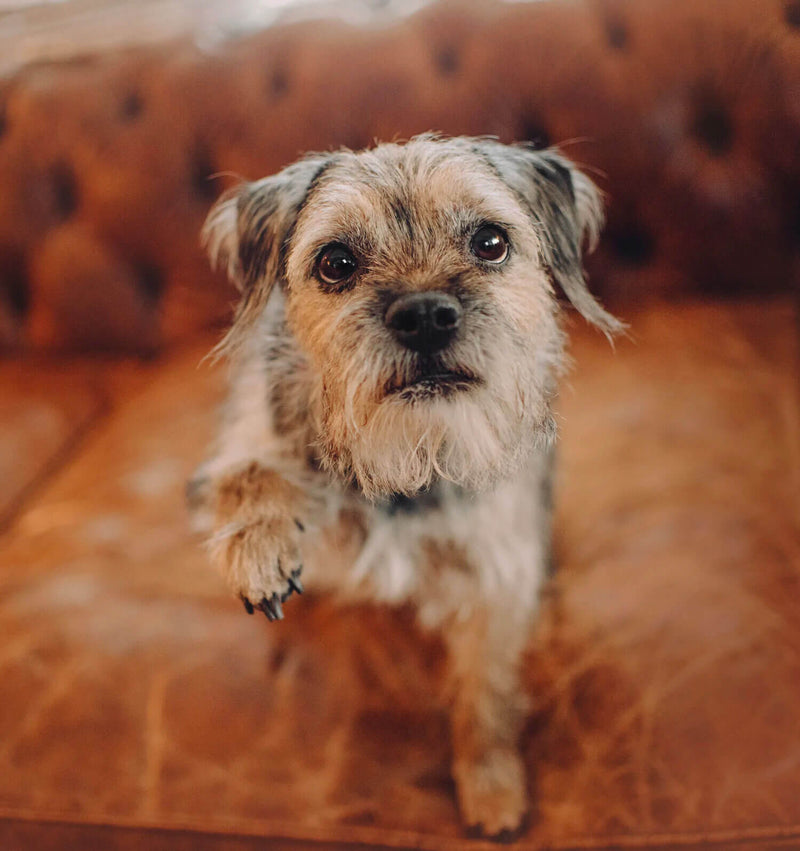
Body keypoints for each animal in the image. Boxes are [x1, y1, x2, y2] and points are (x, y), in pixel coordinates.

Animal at [191, 136, 620, 844]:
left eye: (490, 242)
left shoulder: (497, 578)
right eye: (336, 262)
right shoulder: (250, 436)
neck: (407, 463)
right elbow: (249, 469)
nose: (424, 315)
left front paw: (491, 783)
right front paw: (259, 545)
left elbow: (485, 690)